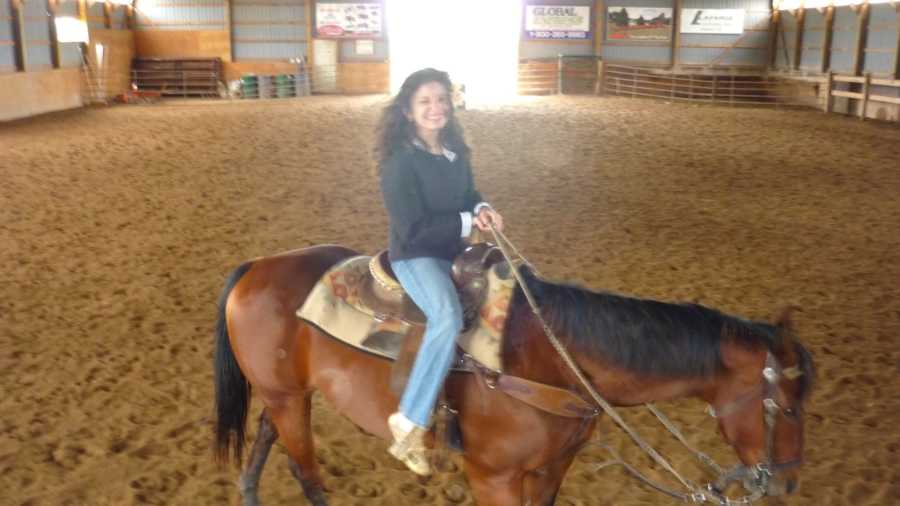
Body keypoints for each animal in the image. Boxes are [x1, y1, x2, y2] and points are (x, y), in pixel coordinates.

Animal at [213, 243, 816, 504]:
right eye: (786, 406)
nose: (788, 482)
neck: (552, 362)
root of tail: (258, 266)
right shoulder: (493, 477)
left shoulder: (553, 468)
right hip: (288, 398)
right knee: (306, 472)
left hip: (287, 394)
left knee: (267, 441)